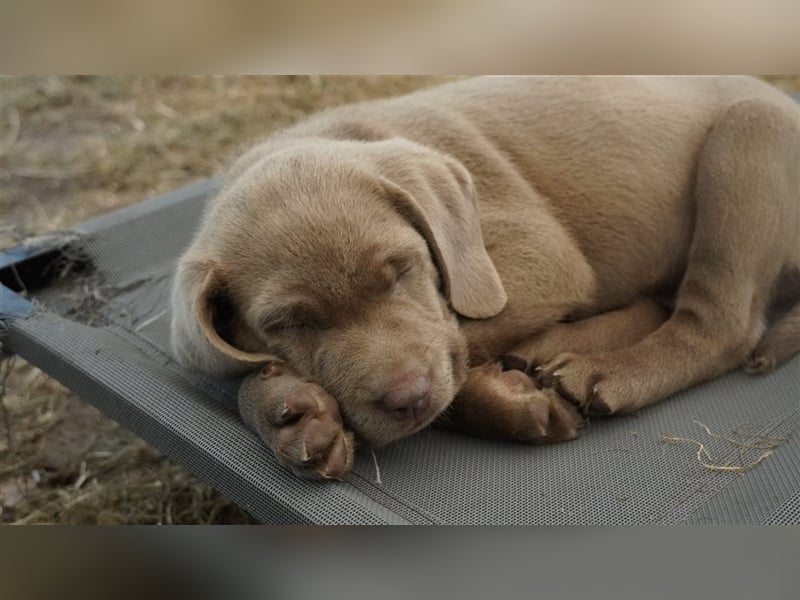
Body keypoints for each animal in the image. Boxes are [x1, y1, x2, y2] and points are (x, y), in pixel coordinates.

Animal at [170, 76, 800, 478]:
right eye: (288, 324)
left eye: (402, 270)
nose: (407, 399)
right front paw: (289, 410)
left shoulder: (538, 255)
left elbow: (458, 346)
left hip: (749, 131)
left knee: (718, 325)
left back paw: (604, 371)